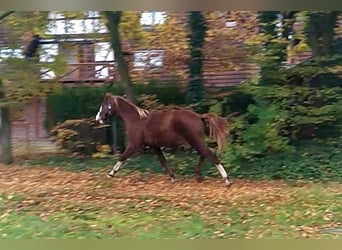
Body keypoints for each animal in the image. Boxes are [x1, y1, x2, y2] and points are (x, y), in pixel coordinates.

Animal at [95, 94, 231, 188]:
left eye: (104, 105)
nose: (98, 119)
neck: (137, 120)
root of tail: (199, 116)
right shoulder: (155, 146)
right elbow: (163, 161)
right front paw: (172, 178)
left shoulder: (133, 145)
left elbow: (122, 157)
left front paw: (111, 174)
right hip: (196, 142)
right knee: (204, 155)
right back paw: (198, 176)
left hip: (195, 141)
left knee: (211, 156)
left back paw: (226, 181)